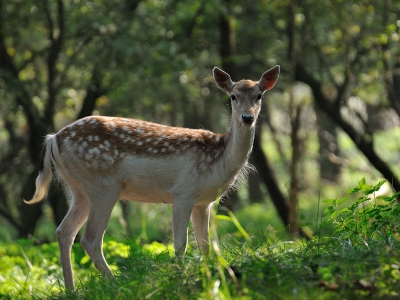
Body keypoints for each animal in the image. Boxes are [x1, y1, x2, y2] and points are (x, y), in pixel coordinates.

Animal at [23, 65, 280, 288]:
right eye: (233, 96)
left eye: (258, 96)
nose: (247, 118)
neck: (219, 159)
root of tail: (53, 139)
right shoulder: (183, 192)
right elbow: (180, 244)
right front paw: (181, 277)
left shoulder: (204, 202)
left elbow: (206, 245)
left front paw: (209, 275)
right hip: (103, 187)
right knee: (90, 238)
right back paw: (116, 284)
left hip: (78, 190)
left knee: (64, 232)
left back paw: (72, 290)